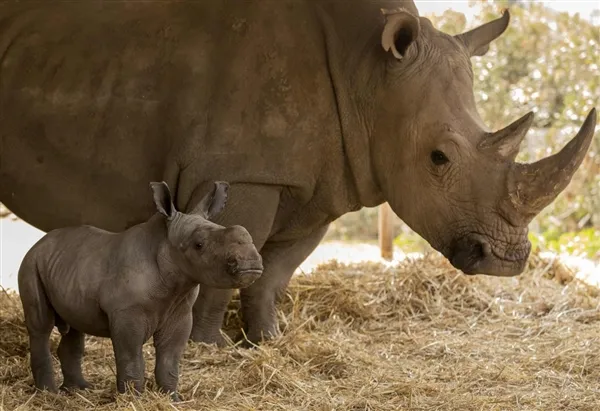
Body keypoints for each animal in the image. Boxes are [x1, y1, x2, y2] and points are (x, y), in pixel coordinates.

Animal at [17, 180, 262, 400]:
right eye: (199, 245)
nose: (251, 263)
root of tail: (39, 243)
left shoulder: (180, 310)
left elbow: (170, 358)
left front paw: (173, 397)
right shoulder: (127, 313)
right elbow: (131, 357)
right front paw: (132, 399)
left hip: (67, 266)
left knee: (75, 325)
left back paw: (79, 390)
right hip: (31, 264)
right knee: (41, 325)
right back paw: (49, 394)